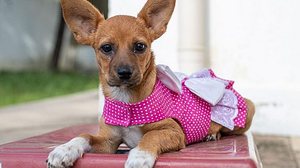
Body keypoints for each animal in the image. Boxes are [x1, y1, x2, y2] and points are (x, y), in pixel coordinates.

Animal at [47, 0, 255, 168]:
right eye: (106, 48)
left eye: (140, 47)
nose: (124, 73)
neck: (128, 101)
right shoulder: (107, 141)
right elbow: (85, 135)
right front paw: (64, 149)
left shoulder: (173, 131)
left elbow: (150, 135)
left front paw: (139, 155)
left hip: (246, 111)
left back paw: (212, 134)